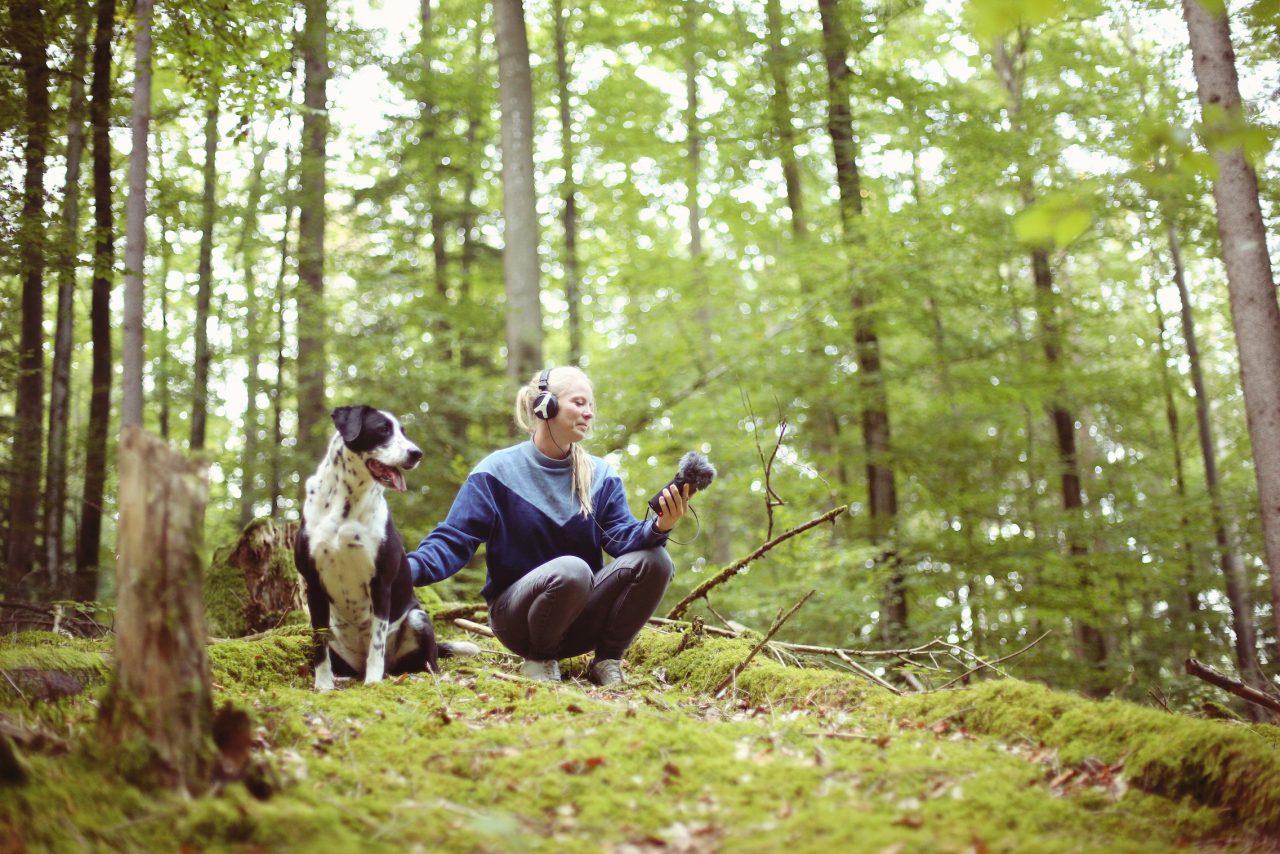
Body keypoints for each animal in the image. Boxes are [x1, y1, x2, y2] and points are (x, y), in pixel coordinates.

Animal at [295, 404, 476, 691]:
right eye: (382, 429)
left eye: (404, 431)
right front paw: (323, 685)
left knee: (428, 663)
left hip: (417, 618)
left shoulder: (380, 582)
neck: (347, 503)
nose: (416, 453)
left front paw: (373, 681)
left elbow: (376, 643)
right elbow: (319, 644)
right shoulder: (312, 582)